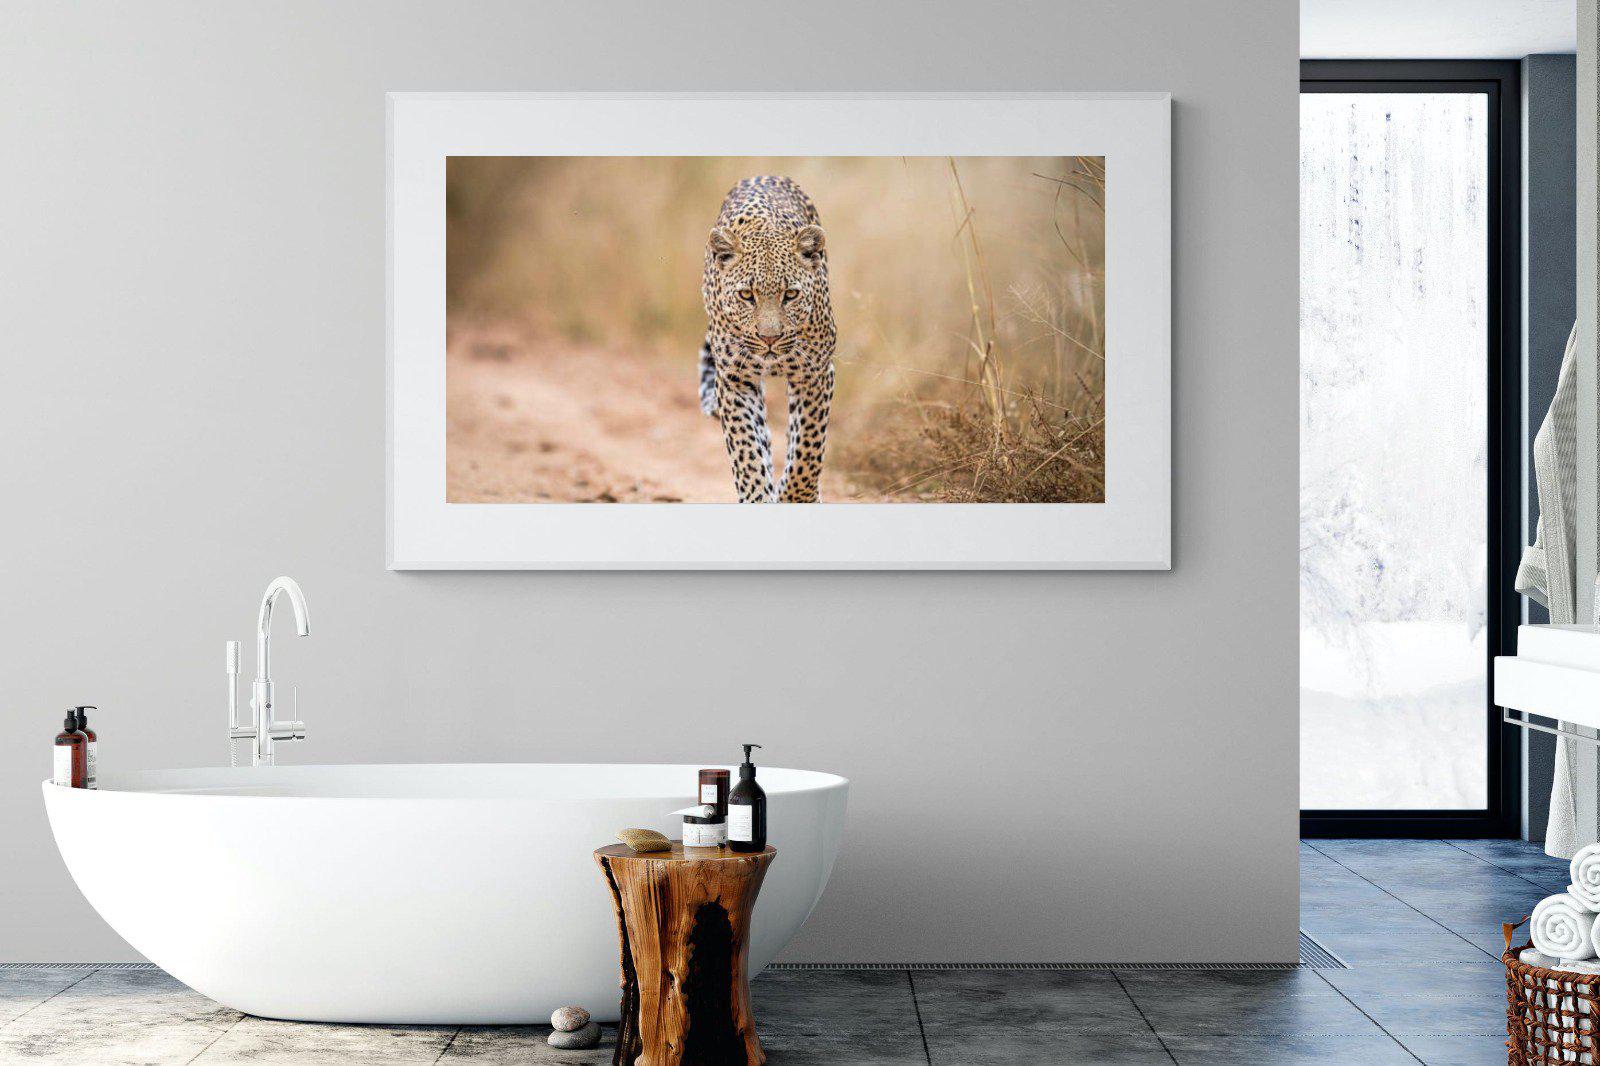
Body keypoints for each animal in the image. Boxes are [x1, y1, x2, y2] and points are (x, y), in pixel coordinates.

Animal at [698, 175, 836, 503]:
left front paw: (795, 496)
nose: (769, 338)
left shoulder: (815, 374)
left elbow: (807, 449)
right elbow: (746, 449)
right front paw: (758, 496)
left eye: (791, 295)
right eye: (747, 295)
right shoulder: (734, 379)